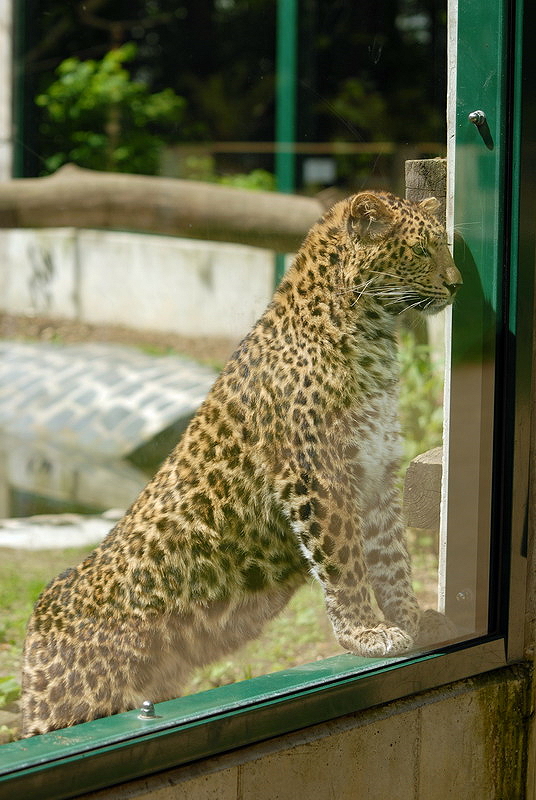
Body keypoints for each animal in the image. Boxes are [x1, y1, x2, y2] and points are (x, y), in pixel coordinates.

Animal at [21, 190, 462, 737]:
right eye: (421, 251)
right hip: (73, 703)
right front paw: (366, 632)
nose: (457, 284)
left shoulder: (377, 475)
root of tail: (39, 617)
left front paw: (411, 620)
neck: (369, 333)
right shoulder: (318, 474)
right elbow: (346, 563)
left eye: (443, 247)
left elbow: (392, 558)